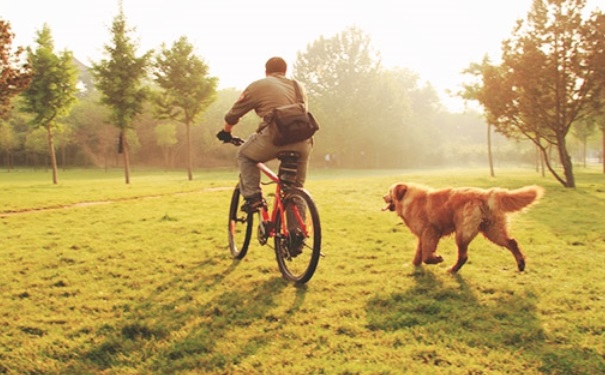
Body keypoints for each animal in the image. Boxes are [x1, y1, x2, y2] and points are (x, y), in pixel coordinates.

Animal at [382, 184, 544, 274]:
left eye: (389, 192)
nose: (383, 196)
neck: (409, 199)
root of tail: (484, 194)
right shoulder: (423, 236)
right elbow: (419, 254)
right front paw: (414, 265)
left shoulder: (430, 232)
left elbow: (427, 256)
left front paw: (437, 259)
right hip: (493, 231)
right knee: (512, 242)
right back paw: (521, 264)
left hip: (462, 233)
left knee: (463, 256)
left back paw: (452, 270)